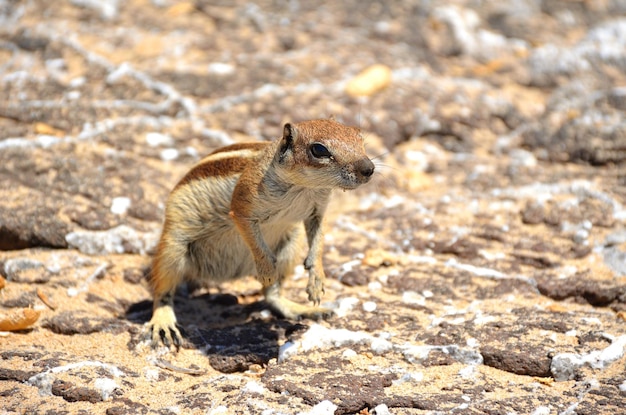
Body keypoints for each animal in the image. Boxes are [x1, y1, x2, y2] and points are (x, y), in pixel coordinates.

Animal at [144, 119, 372, 348]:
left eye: (360, 137)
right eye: (319, 149)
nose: (369, 168)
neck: (304, 187)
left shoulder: (318, 211)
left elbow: (318, 243)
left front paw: (317, 280)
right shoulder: (243, 206)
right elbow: (254, 238)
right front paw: (266, 270)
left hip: (291, 245)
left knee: (271, 295)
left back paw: (303, 309)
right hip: (172, 247)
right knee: (162, 292)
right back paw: (163, 322)